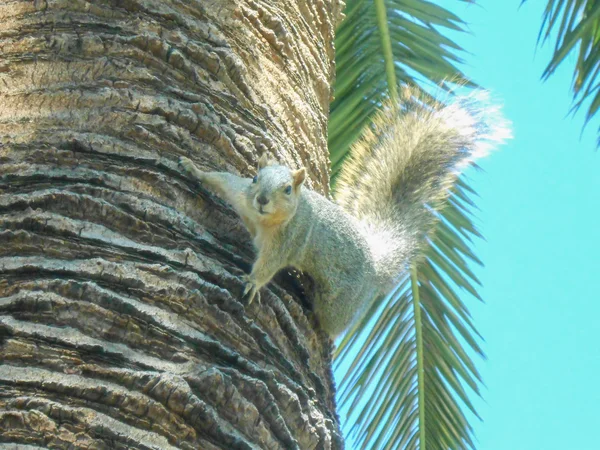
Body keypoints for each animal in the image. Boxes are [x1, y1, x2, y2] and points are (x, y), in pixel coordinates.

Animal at [179, 86, 510, 336]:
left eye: (287, 190)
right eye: (254, 179)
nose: (261, 199)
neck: (263, 221)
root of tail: (375, 266)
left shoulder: (289, 239)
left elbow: (269, 265)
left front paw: (252, 284)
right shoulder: (240, 196)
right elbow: (220, 180)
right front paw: (192, 168)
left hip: (342, 302)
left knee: (332, 324)